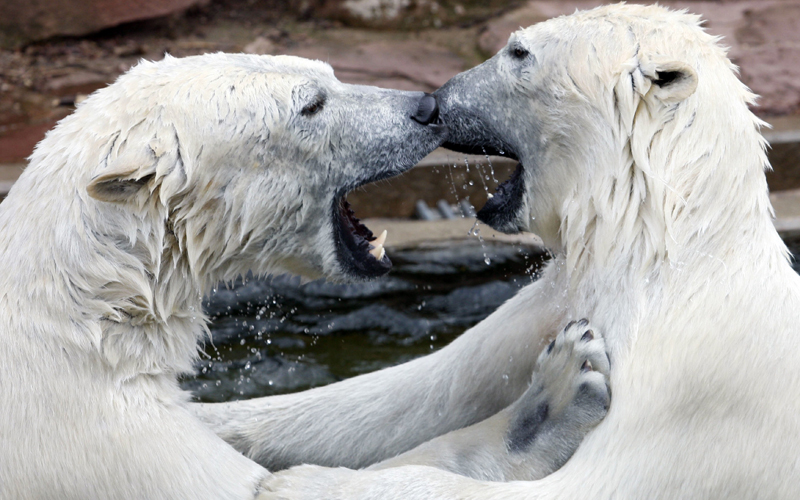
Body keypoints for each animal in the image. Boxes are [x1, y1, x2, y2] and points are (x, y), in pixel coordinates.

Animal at [205, 3, 800, 500]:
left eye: (519, 52)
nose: (435, 101)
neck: (652, 254)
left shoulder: (691, 385)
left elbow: (594, 485)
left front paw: (299, 483)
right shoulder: (549, 302)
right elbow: (417, 393)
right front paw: (216, 420)